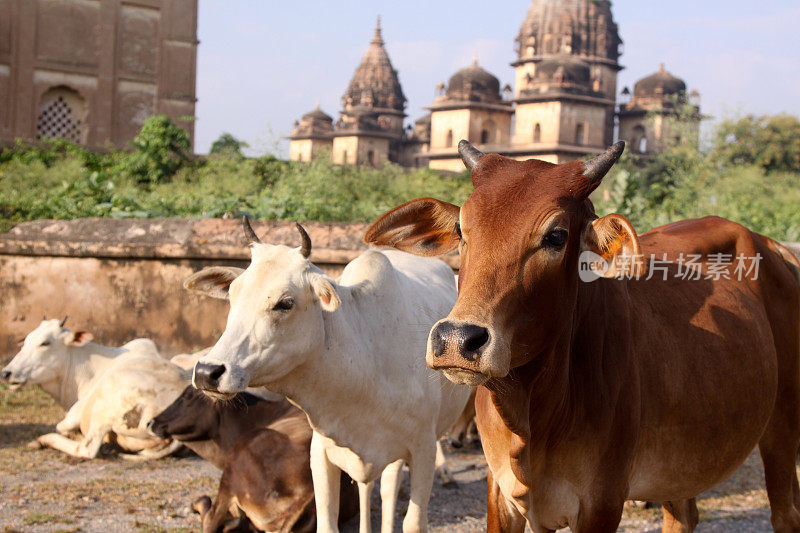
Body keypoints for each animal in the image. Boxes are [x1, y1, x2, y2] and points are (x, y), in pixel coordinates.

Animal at [2, 318, 186, 460]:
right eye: (26, 341)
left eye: (45, 343)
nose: (6, 372)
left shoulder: (77, 410)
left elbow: (62, 427)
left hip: (105, 409)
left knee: (86, 449)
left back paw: (43, 440)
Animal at [188, 221, 472, 532]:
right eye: (233, 294)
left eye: (285, 303)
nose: (207, 372)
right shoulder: (321, 452)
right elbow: (328, 519)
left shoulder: (422, 450)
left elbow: (412, 521)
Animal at [366, 140, 800, 532]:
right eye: (461, 229)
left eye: (556, 236)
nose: (458, 340)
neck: (534, 411)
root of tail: (776, 248)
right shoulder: (501, 492)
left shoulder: (601, 501)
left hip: (781, 425)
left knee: (785, 514)